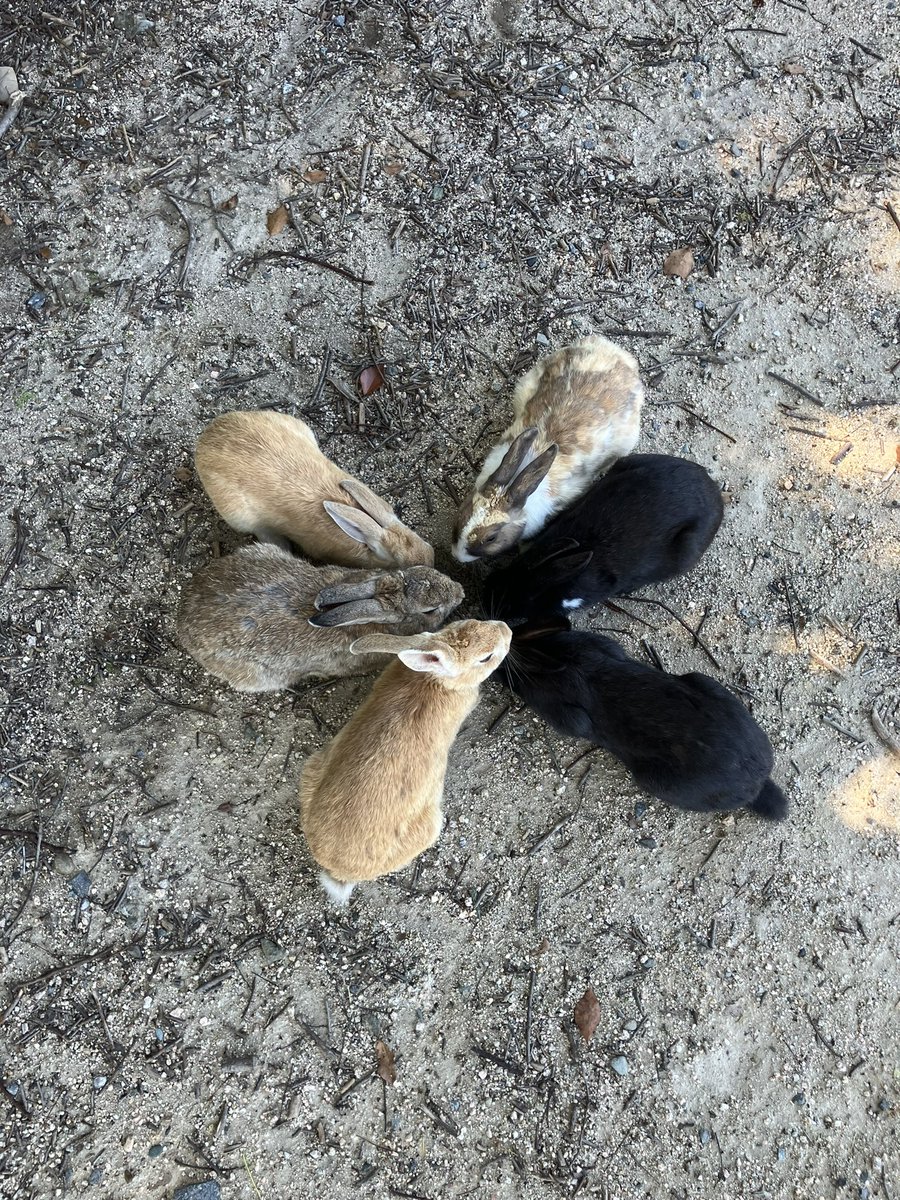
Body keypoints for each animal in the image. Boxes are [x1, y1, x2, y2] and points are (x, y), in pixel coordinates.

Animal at [299, 618, 512, 903]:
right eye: (486, 658)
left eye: (471, 621)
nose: (507, 630)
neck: (437, 679)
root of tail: (338, 871)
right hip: (431, 826)